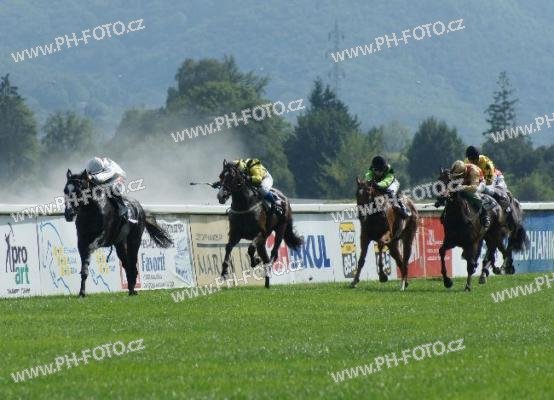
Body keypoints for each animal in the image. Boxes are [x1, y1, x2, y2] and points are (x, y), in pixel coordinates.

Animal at [216, 160, 303, 288]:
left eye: (231, 177)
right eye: (221, 176)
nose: (221, 195)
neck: (244, 205)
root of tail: (284, 198)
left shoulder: (260, 232)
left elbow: (251, 248)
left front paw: (255, 261)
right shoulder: (235, 234)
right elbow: (228, 247)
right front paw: (224, 272)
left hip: (280, 228)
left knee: (273, 253)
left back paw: (269, 266)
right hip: (263, 240)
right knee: (265, 257)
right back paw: (266, 281)